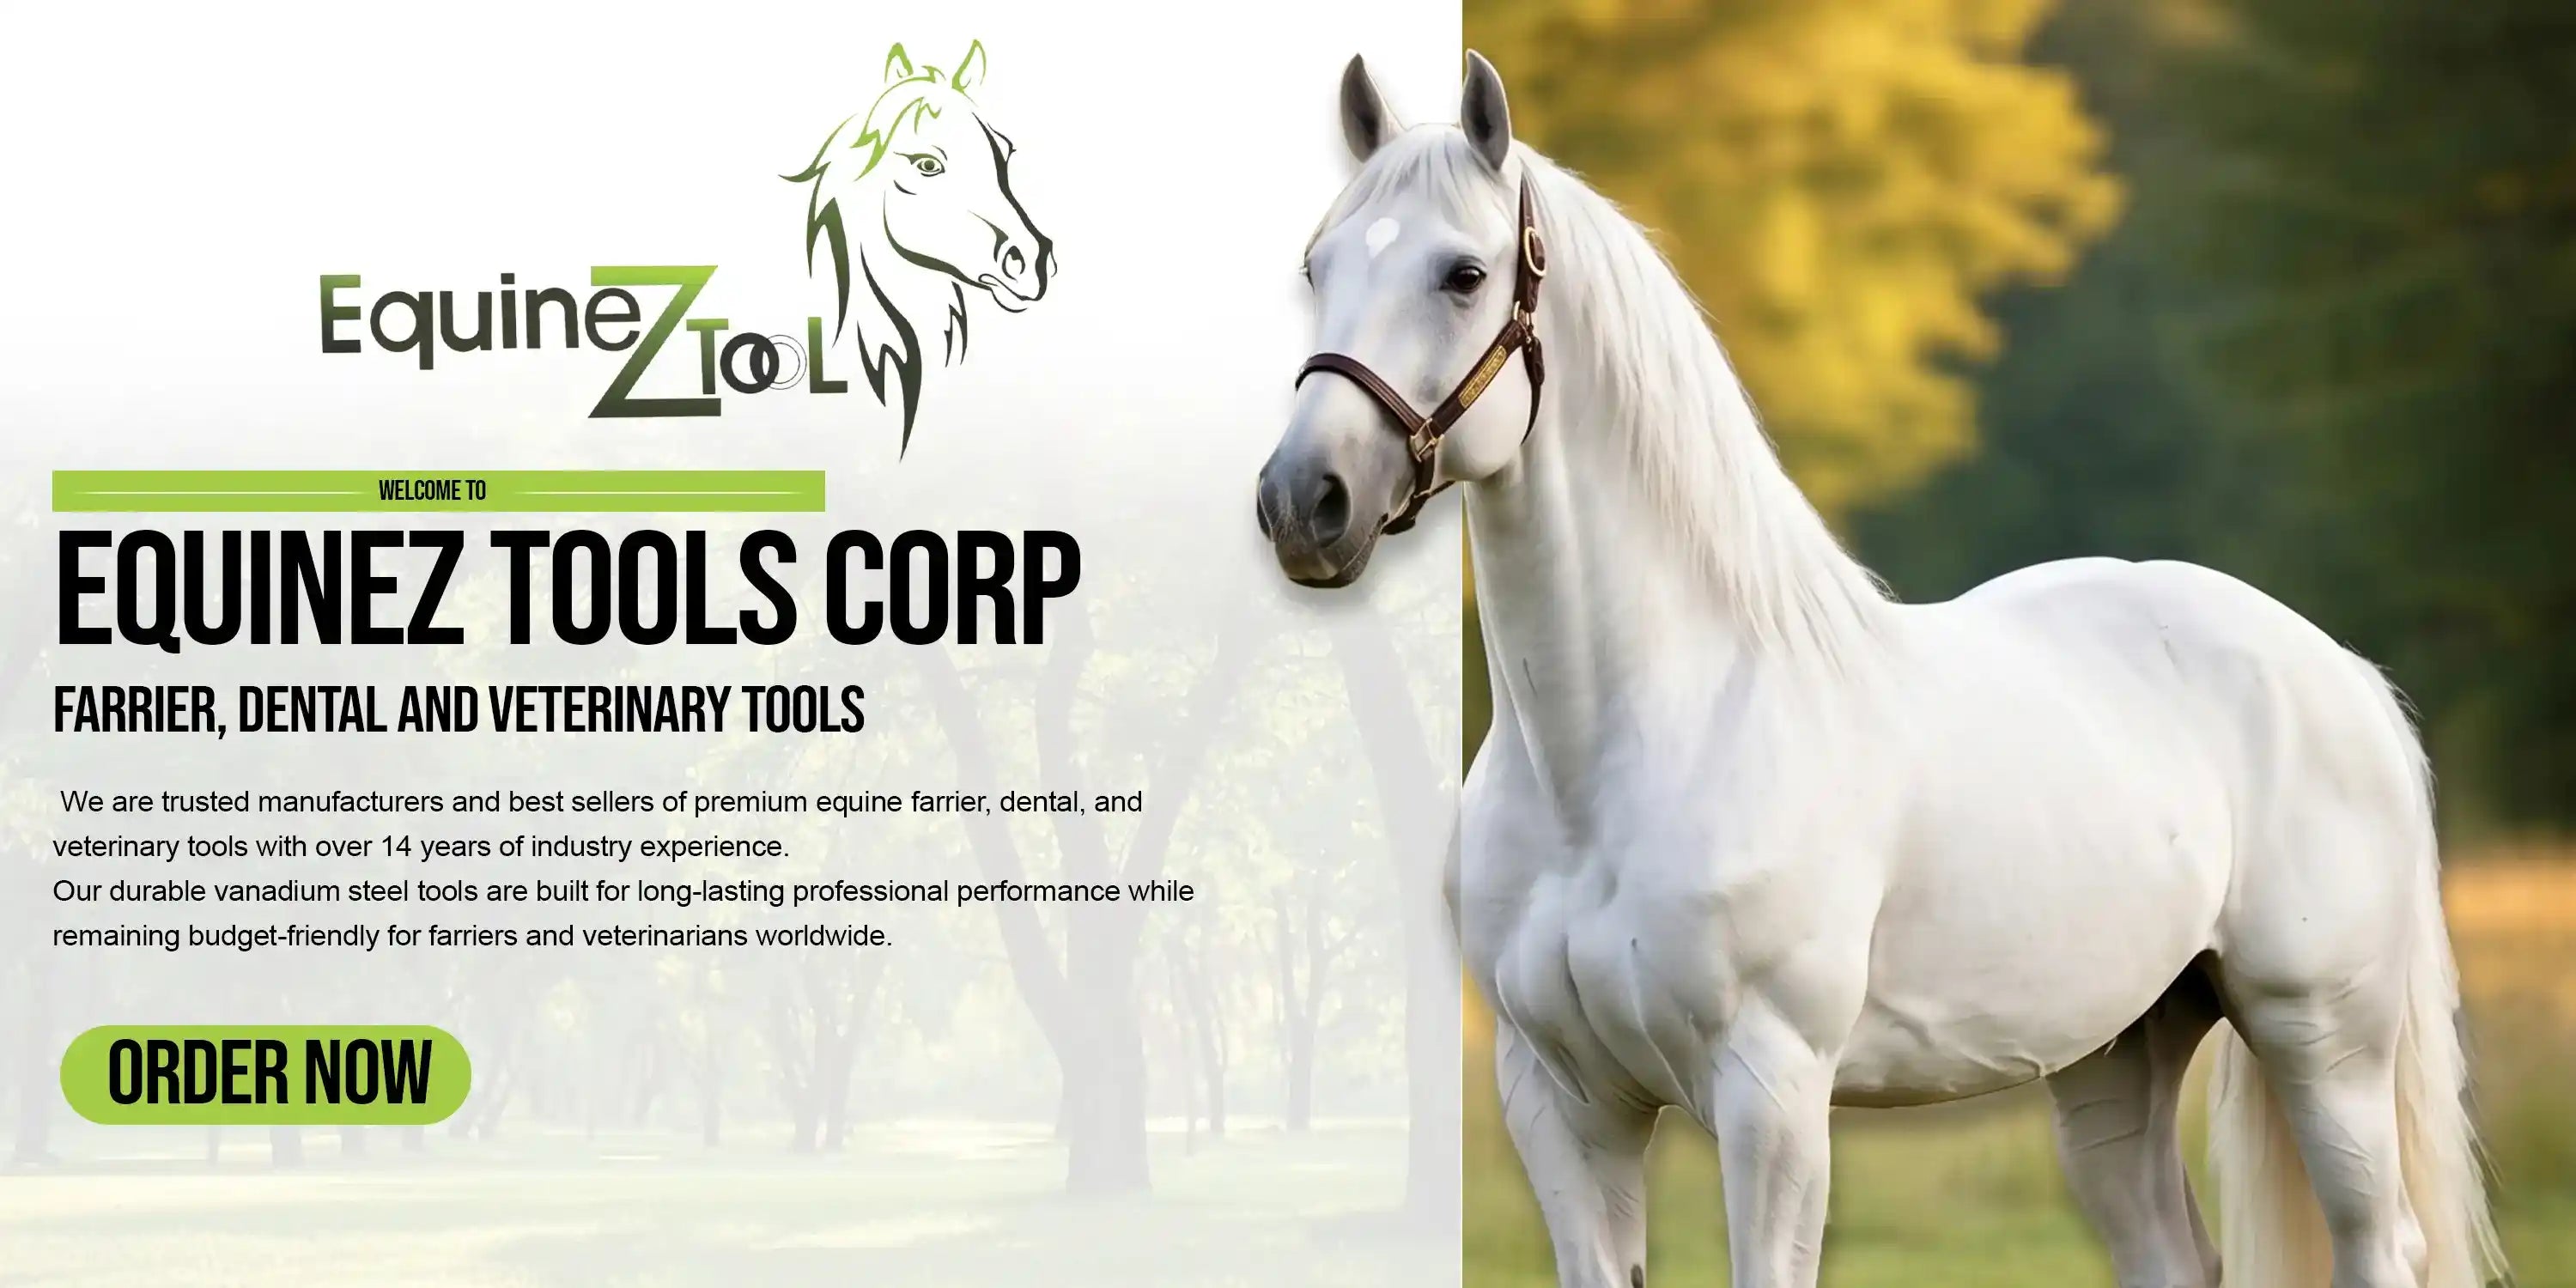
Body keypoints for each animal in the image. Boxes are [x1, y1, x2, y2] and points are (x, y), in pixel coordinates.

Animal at [1256, 52, 2506, 1288]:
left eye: (1464, 275)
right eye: (1317, 265)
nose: (1303, 502)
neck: (1630, 746)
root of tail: (2341, 672)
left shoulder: (1771, 1097)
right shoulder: (1561, 1104)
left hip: (2324, 1042)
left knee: (2380, 1242)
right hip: (2114, 1056)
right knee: (2169, 1250)